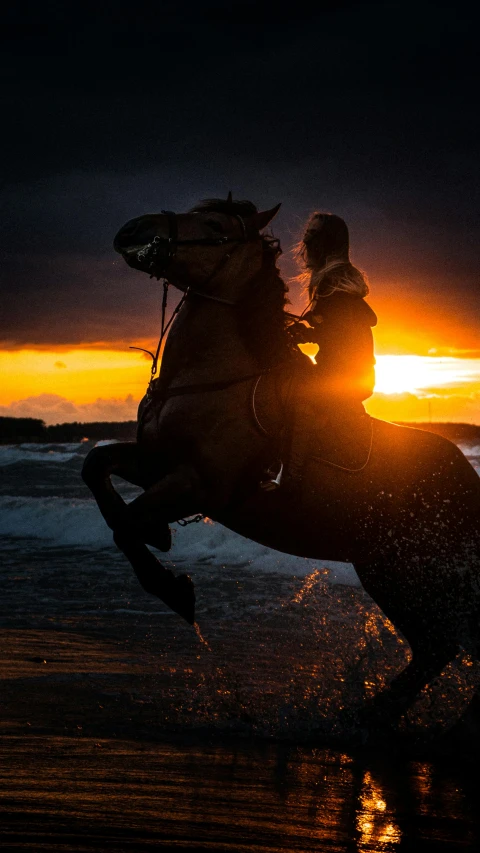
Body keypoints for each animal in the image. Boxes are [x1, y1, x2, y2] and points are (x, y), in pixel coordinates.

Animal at [84, 196, 480, 724]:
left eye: (214, 224)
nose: (133, 230)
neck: (213, 378)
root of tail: (468, 479)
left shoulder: (199, 484)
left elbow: (126, 523)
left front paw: (173, 586)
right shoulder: (155, 463)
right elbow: (97, 469)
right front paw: (159, 537)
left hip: (420, 571)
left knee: (448, 644)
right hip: (387, 569)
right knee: (437, 647)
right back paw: (372, 715)